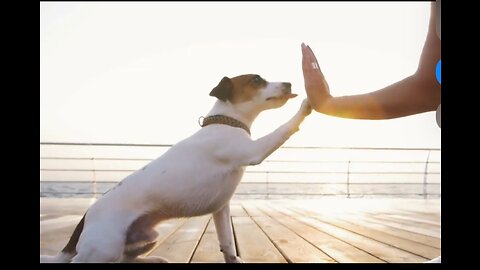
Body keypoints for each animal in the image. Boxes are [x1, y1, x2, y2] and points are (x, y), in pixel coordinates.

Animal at [40, 73, 312, 262]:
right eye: (256, 79)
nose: (289, 83)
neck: (226, 123)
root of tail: (84, 219)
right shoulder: (254, 151)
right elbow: (285, 128)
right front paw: (307, 104)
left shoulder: (221, 209)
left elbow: (227, 245)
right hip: (105, 247)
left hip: (148, 237)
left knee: (127, 259)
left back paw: (155, 259)